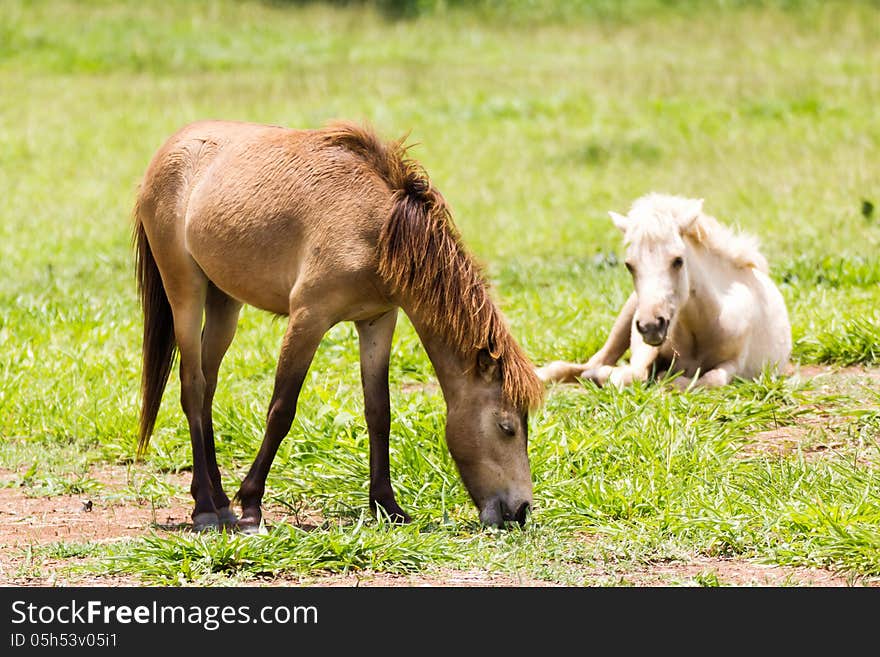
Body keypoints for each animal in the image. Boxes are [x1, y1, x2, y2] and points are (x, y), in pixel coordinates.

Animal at [131, 120, 544, 532]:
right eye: (507, 427)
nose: (521, 510)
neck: (379, 230)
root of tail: (171, 147)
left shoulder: (378, 321)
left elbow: (379, 413)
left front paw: (387, 506)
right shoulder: (308, 317)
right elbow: (281, 411)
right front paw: (251, 506)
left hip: (224, 301)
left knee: (208, 388)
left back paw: (218, 501)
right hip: (184, 290)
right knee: (193, 386)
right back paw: (205, 507)